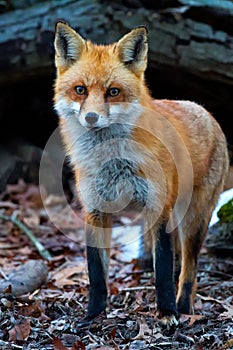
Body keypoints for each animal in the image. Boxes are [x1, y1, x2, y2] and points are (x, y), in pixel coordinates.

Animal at [53, 21, 229, 326]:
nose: (91, 118)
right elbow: (96, 274)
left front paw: (167, 312)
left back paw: (183, 307)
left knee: (189, 269)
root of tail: (203, 109)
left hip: (193, 219)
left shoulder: (159, 208)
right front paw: (93, 315)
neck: (113, 162)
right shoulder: (95, 209)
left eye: (113, 92)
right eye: (80, 90)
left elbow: (165, 272)